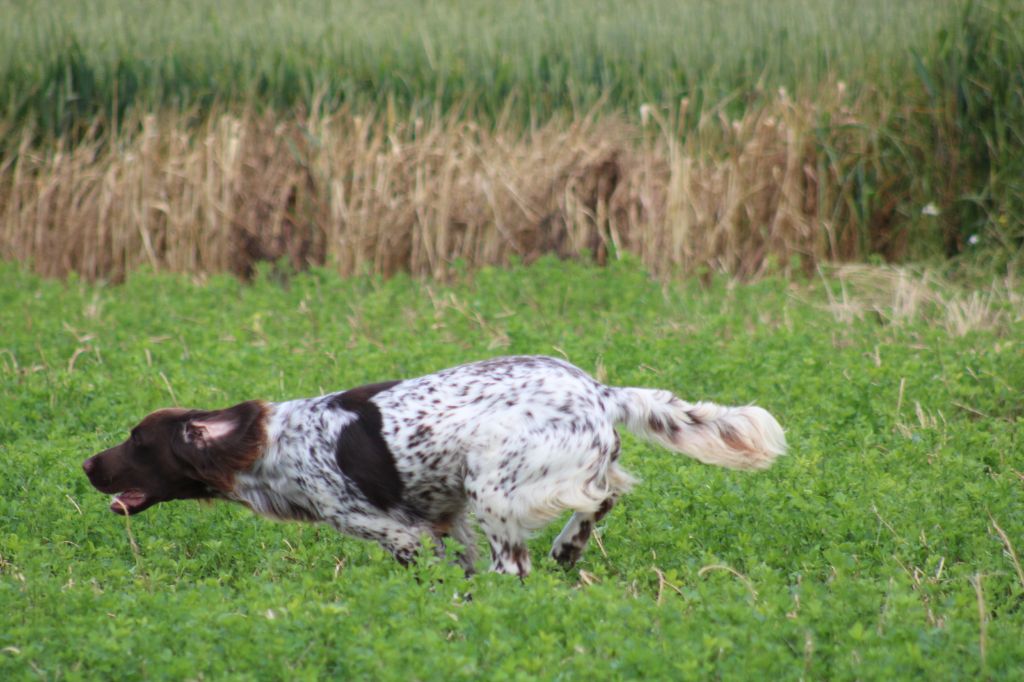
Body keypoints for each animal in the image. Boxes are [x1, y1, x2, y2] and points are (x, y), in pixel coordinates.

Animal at [83, 356, 782, 573]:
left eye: (136, 441)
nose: (87, 465)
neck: (276, 447)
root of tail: (599, 390)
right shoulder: (447, 525)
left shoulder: (401, 535)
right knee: (603, 497)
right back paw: (569, 547)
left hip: (493, 479)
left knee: (515, 565)